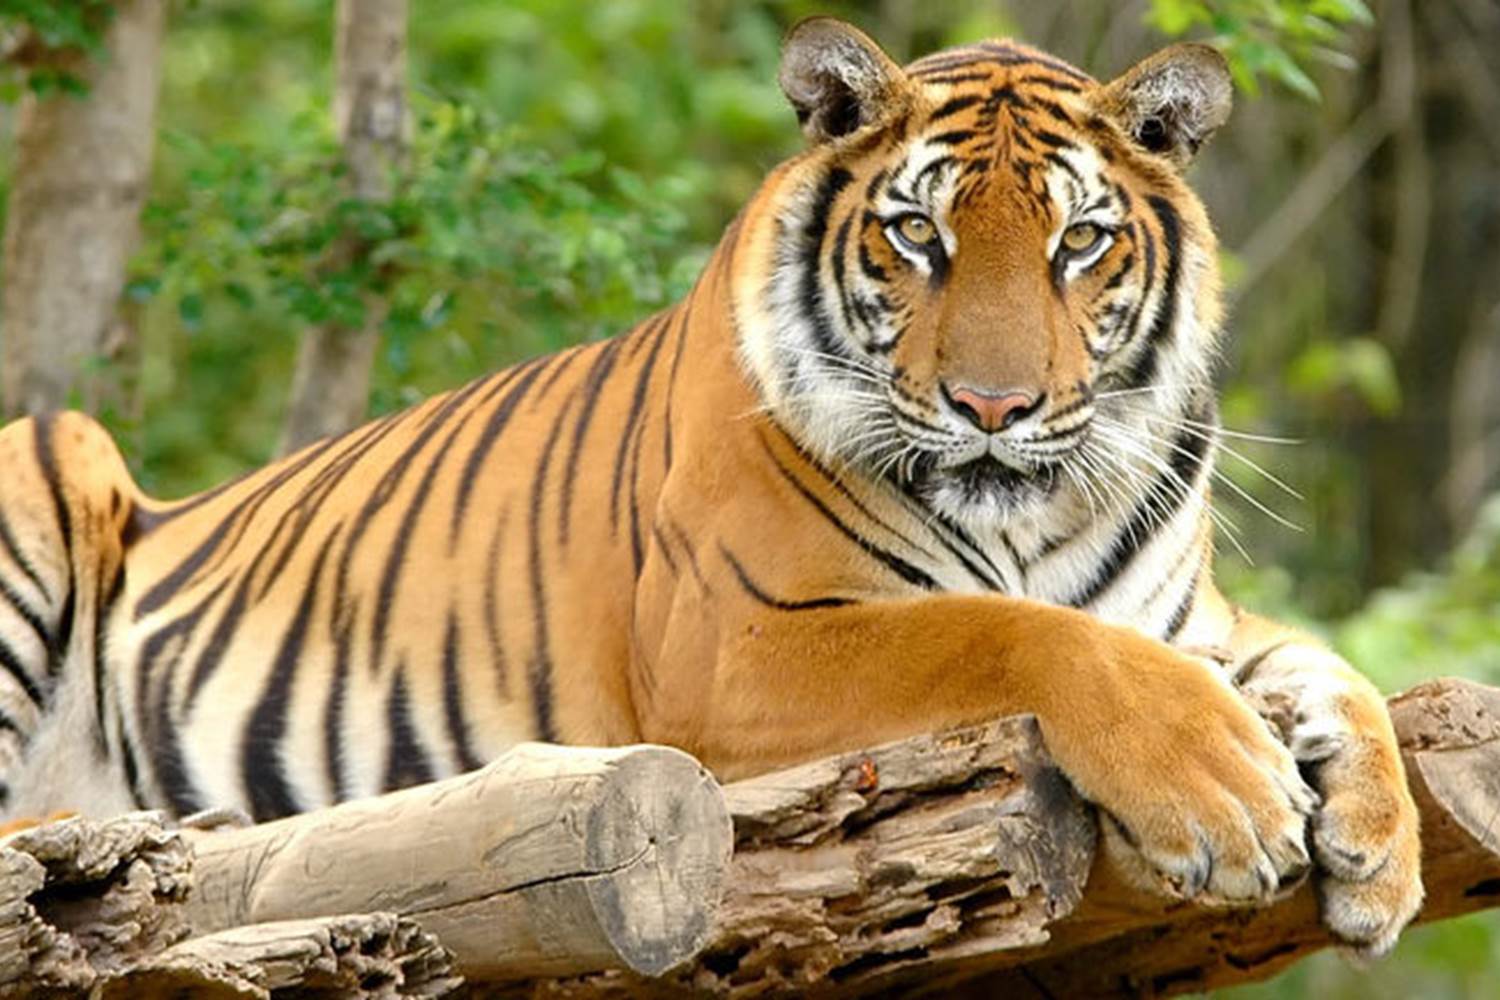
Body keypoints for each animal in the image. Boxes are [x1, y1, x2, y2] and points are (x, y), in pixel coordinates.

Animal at [0, 17, 1420, 956]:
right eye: (919, 235)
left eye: (1080, 242)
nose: (994, 408)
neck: (1034, 517)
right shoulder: (737, 646)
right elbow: (1007, 631)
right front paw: (1229, 795)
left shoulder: (1190, 619)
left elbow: (1332, 667)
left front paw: (1382, 846)